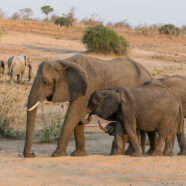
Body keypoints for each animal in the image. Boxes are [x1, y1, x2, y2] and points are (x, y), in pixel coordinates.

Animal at [23, 53, 152, 157]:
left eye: (45, 82)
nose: (32, 154)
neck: (64, 62)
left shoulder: (87, 88)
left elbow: (74, 113)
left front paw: (57, 155)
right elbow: (77, 117)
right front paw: (79, 155)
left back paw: (131, 154)